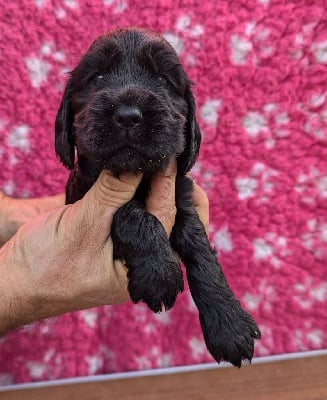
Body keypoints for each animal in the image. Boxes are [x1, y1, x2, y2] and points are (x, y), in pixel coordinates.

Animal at [55, 26, 262, 368]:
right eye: (97, 77)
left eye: (164, 80)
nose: (128, 115)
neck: (136, 173)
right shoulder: (87, 197)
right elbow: (130, 212)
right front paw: (159, 273)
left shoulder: (182, 194)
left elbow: (199, 246)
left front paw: (229, 325)